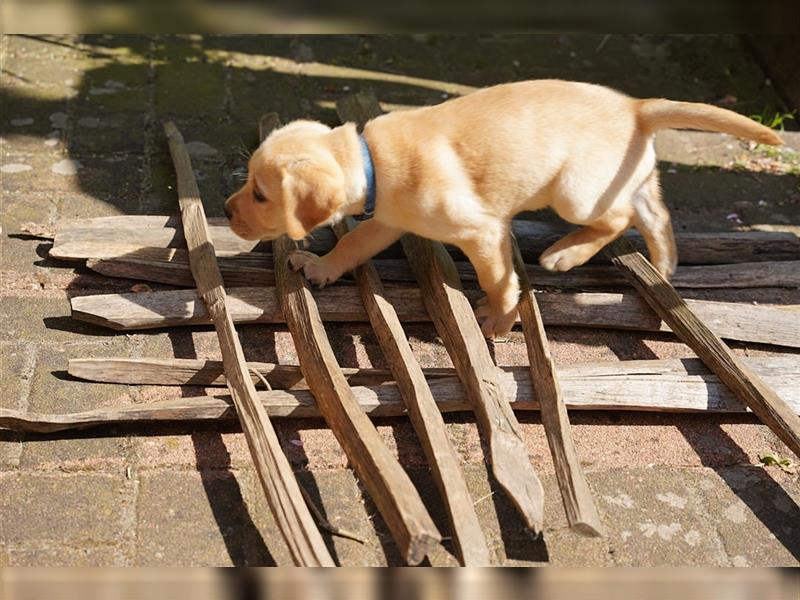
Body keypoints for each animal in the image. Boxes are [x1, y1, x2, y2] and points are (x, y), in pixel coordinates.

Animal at [223, 81, 780, 338]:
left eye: (260, 194)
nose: (227, 211)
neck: (371, 161)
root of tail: (635, 106)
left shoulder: (482, 232)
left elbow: (497, 278)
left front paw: (499, 316)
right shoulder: (386, 222)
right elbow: (354, 244)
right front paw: (319, 267)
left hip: (574, 191)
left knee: (619, 218)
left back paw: (565, 255)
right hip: (619, 177)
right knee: (654, 211)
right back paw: (663, 265)